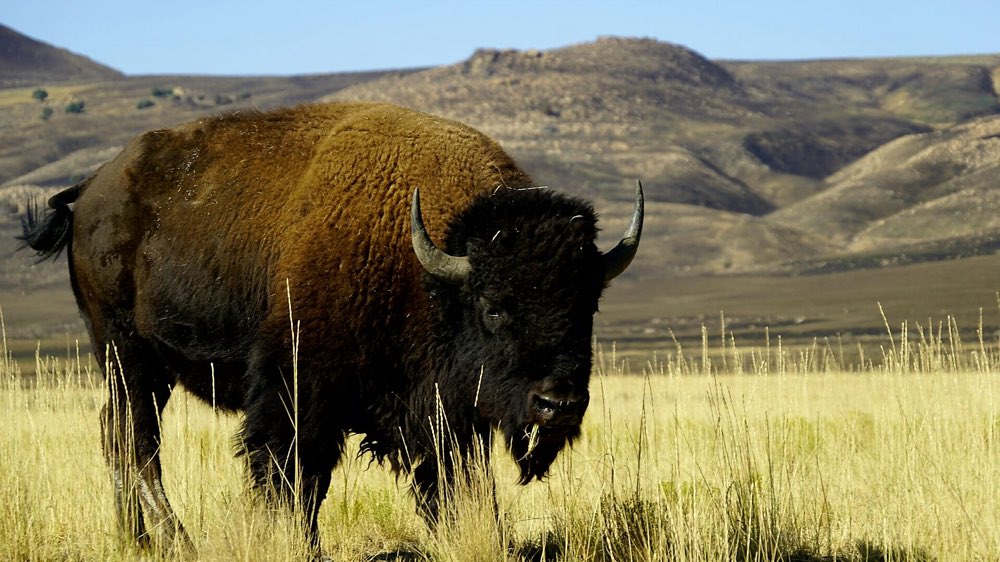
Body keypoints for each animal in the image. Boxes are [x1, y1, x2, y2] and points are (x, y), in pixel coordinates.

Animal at [20, 101, 642, 556]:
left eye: (588, 305)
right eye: (492, 307)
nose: (557, 403)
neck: (426, 267)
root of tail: (90, 189)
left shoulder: (444, 413)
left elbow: (452, 480)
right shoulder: (297, 390)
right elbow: (297, 478)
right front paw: (302, 545)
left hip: (140, 367)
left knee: (118, 433)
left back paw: (137, 540)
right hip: (127, 353)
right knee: (135, 439)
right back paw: (175, 541)